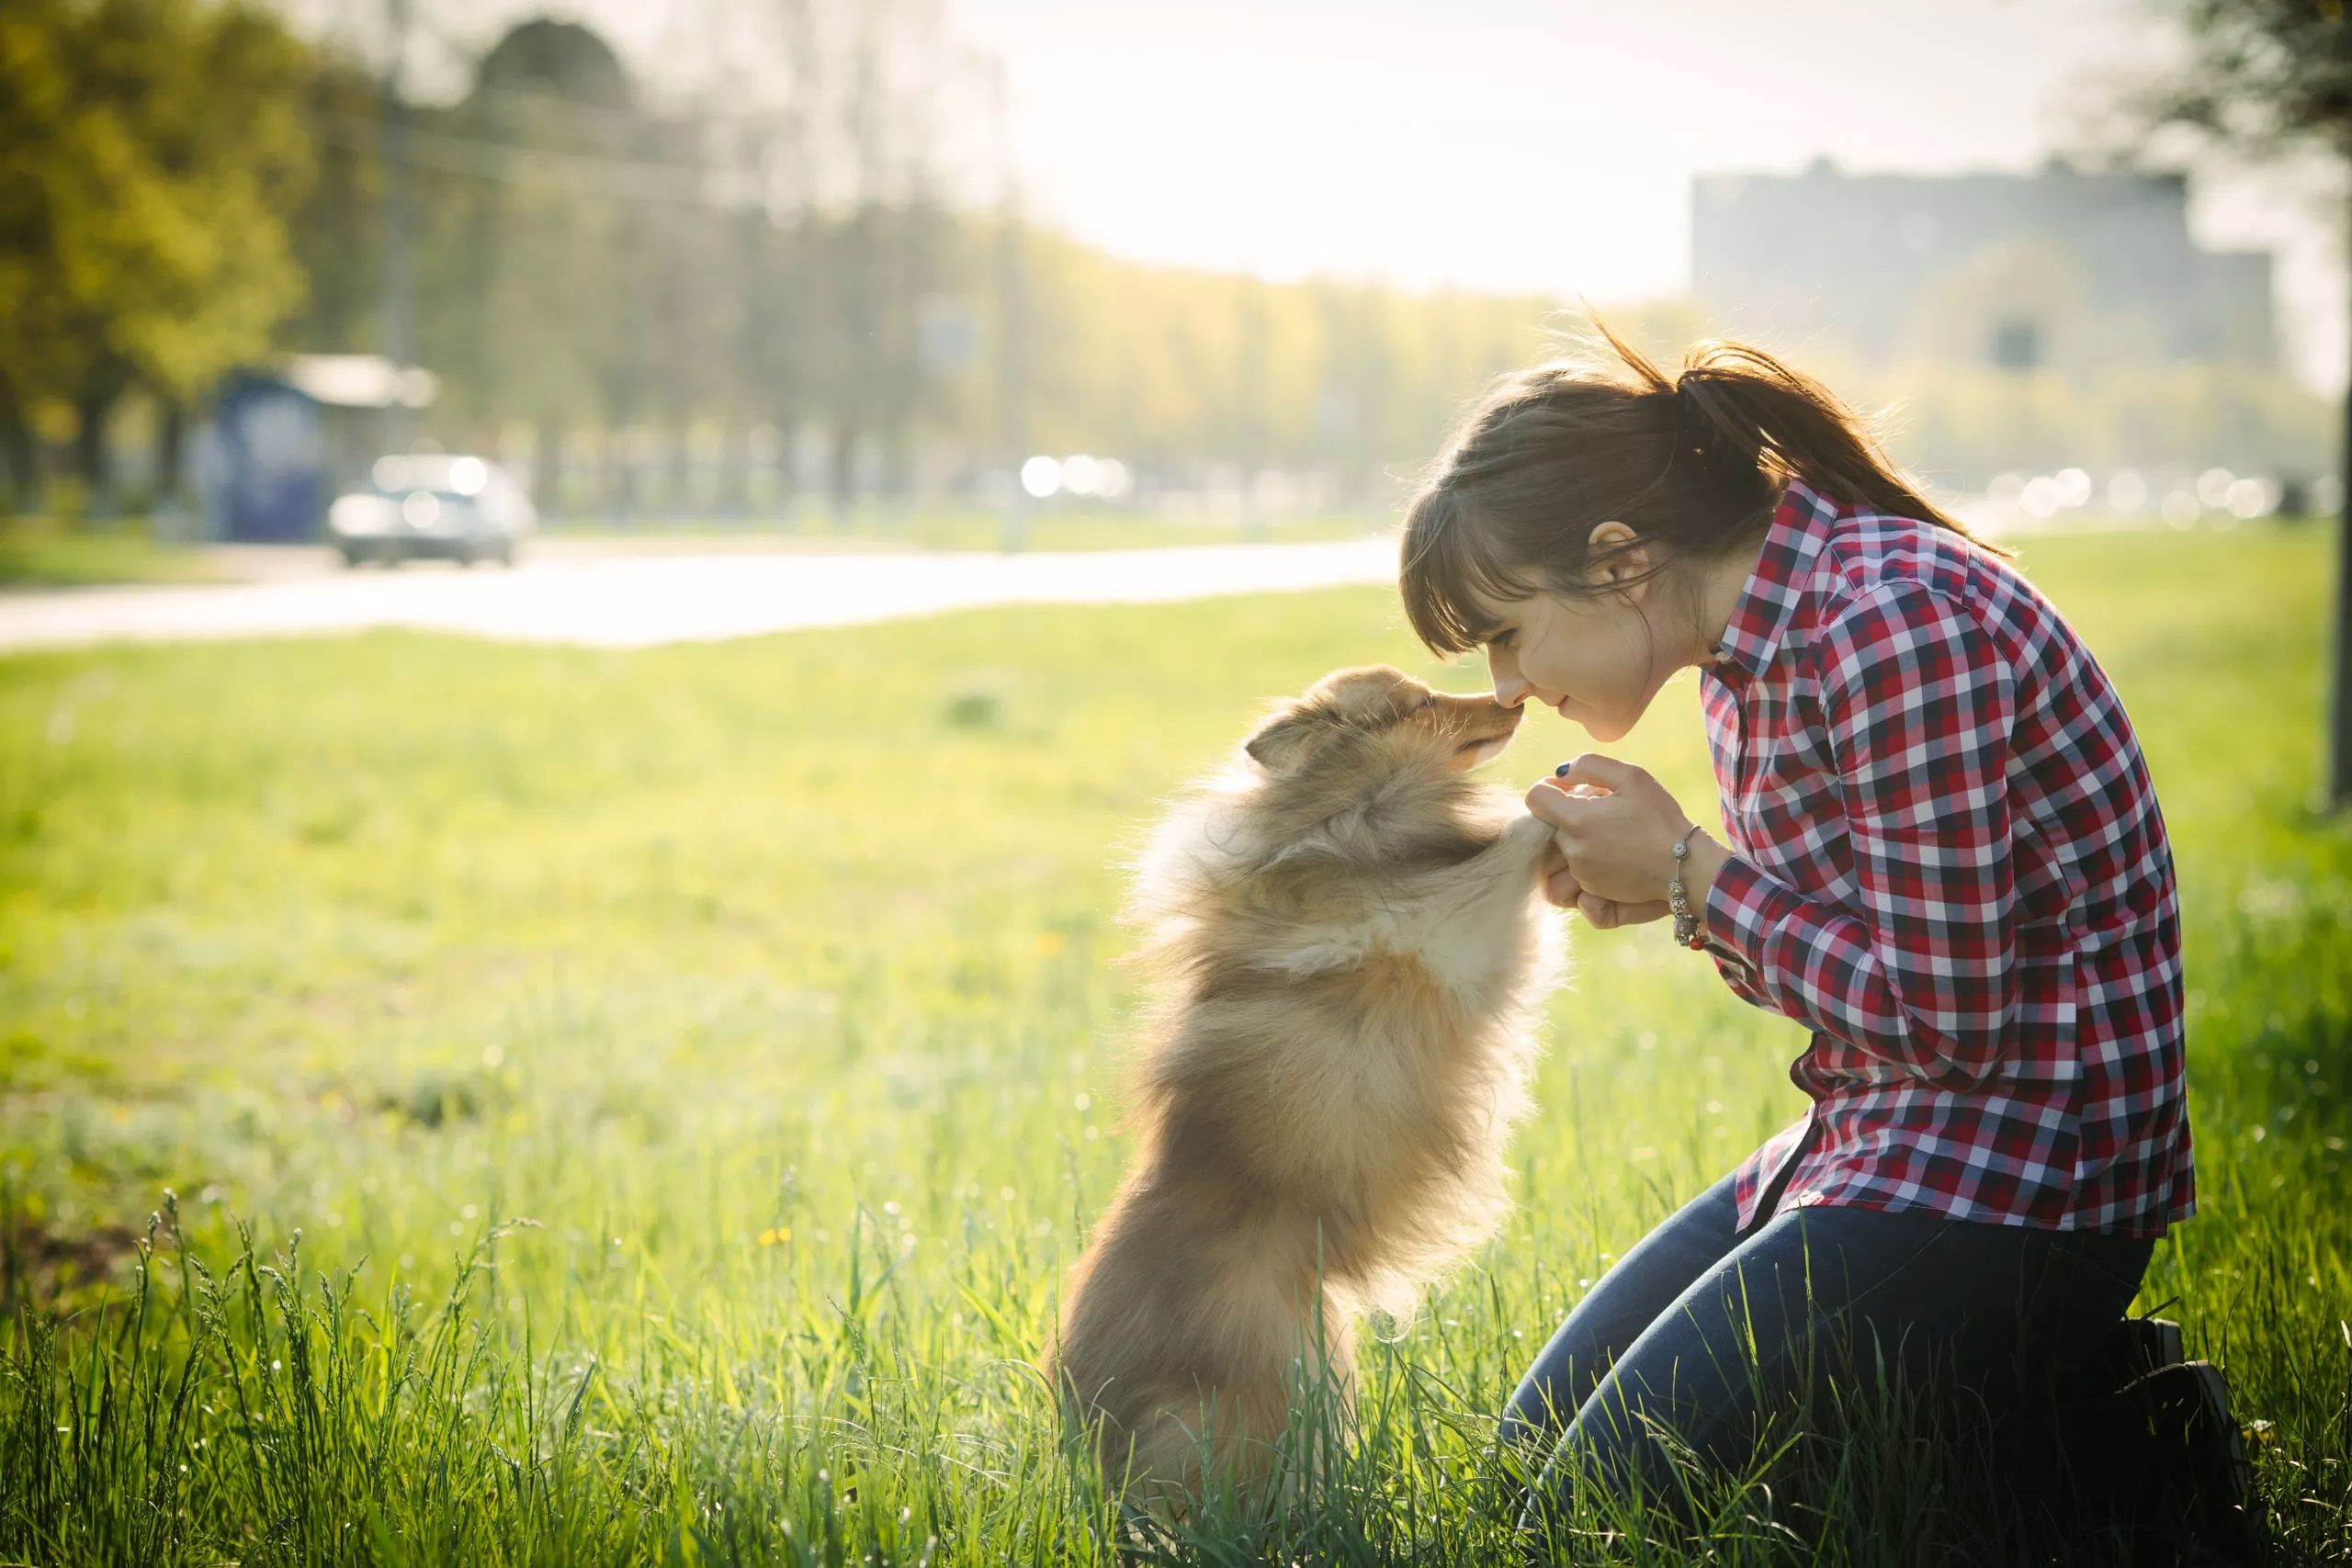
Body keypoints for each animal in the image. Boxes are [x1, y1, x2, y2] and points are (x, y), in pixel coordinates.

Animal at [1044, 658, 1561, 1523]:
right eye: (1419, 703)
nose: (1514, 700)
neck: (1351, 815)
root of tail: (1087, 1435)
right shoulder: (1438, 932)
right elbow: (1499, 852)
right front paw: (1558, 802)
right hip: (1268, 1400)